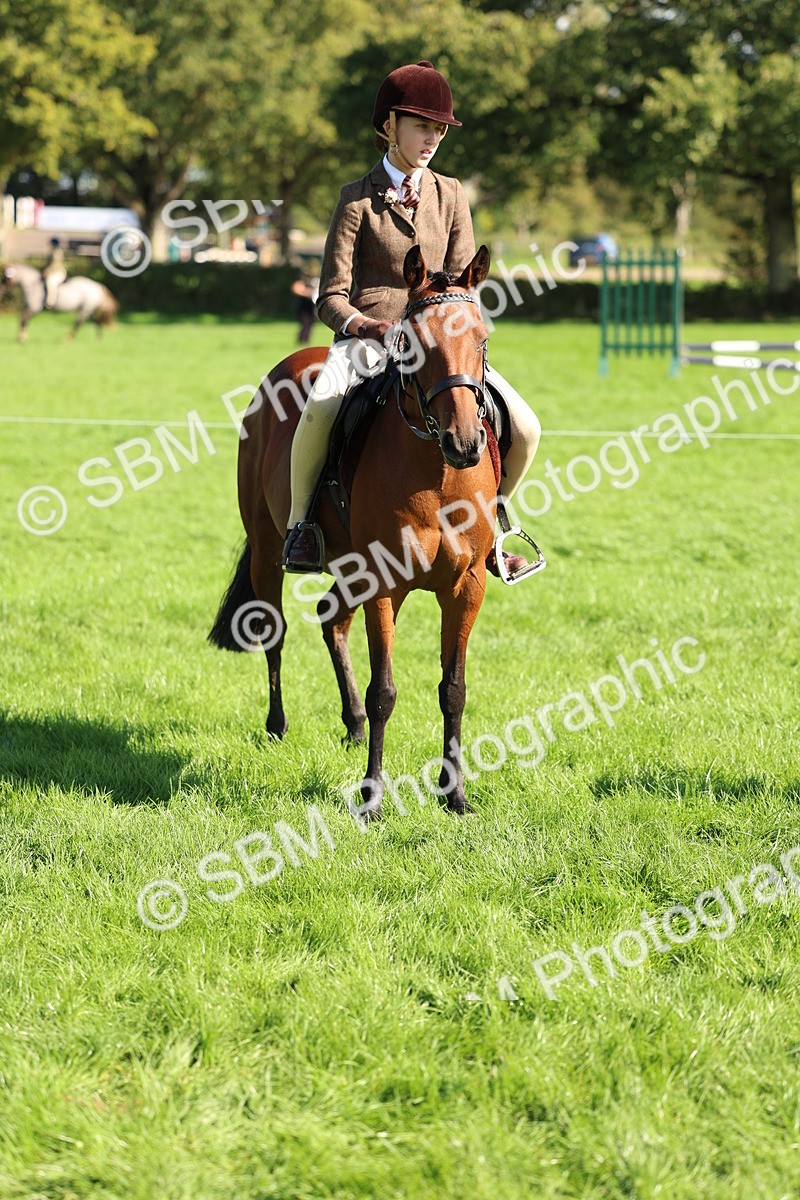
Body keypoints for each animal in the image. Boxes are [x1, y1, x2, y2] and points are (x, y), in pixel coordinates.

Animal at [210, 244, 499, 818]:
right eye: (413, 344)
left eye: (480, 339)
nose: (464, 442)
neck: (438, 471)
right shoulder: (385, 584)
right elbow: (383, 690)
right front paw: (372, 798)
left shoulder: (466, 586)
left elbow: (453, 689)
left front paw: (454, 794)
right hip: (271, 550)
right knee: (275, 629)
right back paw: (278, 725)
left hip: (353, 568)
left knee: (331, 618)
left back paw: (352, 726)